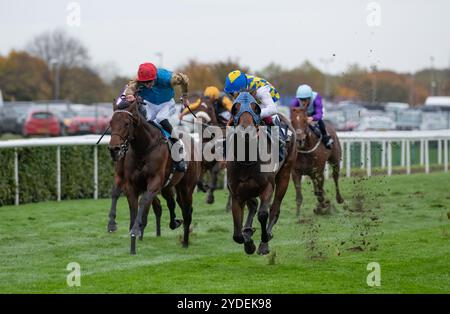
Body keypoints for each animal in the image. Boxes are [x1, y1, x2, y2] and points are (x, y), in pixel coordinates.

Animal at [109, 100, 200, 255]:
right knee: (172, 203)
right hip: (169, 187)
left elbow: (144, 201)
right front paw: (131, 239)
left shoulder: (154, 181)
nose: (113, 149)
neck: (144, 148)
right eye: (111, 122)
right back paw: (174, 223)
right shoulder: (130, 184)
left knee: (187, 213)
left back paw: (185, 242)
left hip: (186, 187)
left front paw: (136, 230)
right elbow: (132, 207)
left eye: (126, 123)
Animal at [227, 92, 298, 255]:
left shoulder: (267, 187)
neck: (247, 159)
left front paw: (263, 241)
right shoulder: (236, 193)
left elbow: (263, 214)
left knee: (274, 208)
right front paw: (248, 241)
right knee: (253, 204)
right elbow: (237, 235)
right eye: (235, 108)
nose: (246, 131)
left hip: (285, 174)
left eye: (256, 108)